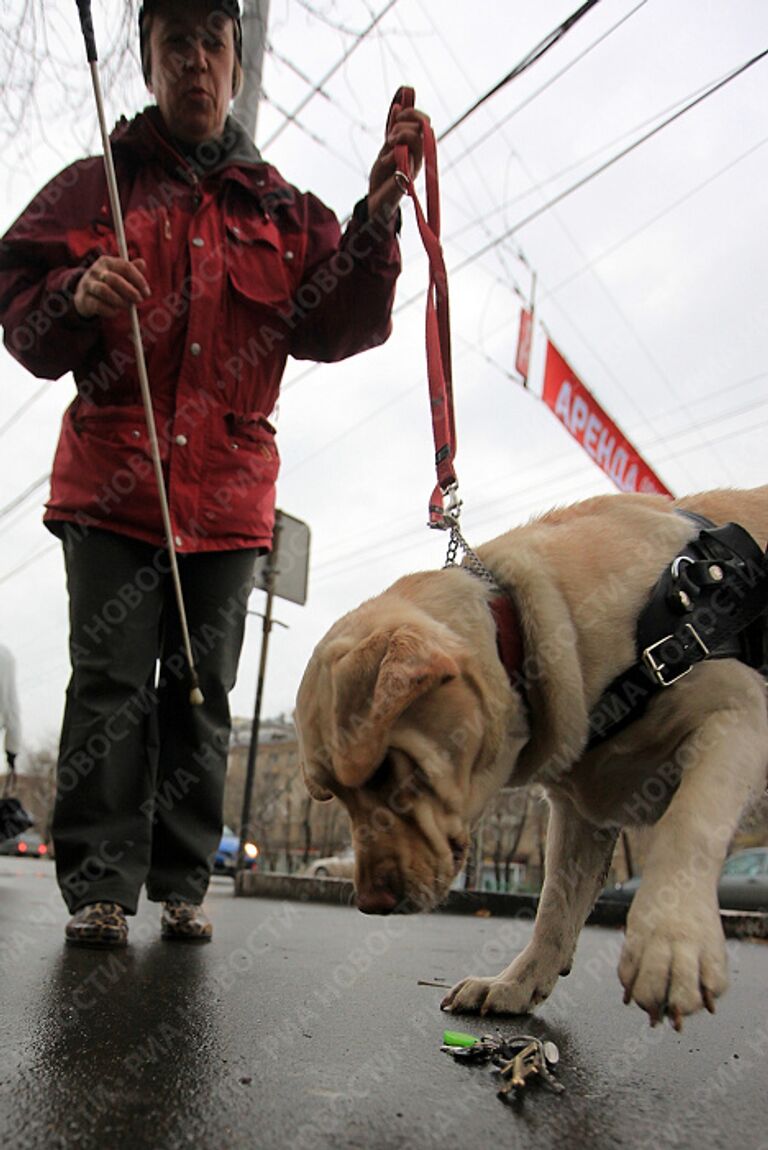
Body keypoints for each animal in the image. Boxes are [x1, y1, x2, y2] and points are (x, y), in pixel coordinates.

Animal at [296, 489, 768, 1030]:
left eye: (383, 769)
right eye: (334, 795)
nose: (371, 904)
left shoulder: (738, 711)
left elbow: (688, 824)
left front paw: (669, 944)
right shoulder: (581, 814)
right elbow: (554, 908)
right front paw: (516, 984)